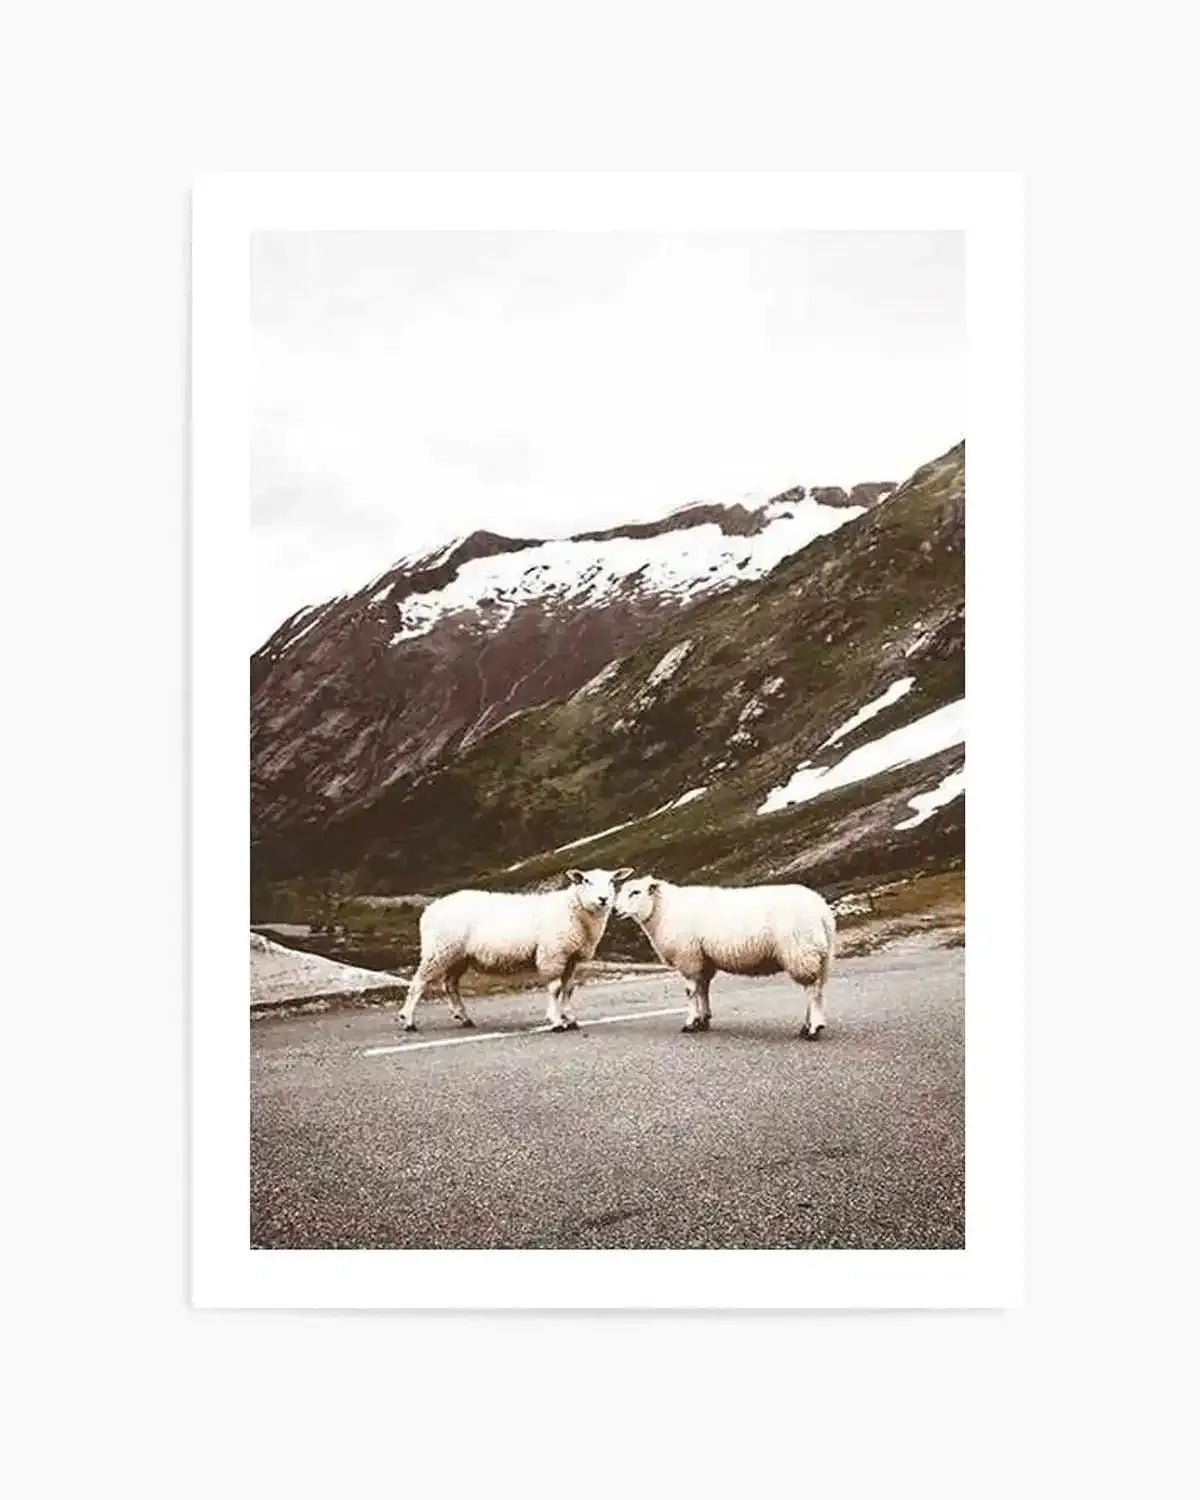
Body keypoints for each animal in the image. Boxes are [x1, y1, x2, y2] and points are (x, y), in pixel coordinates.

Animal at [396, 867, 633, 1033]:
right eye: (586, 880)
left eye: (612, 881)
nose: (603, 899)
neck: (574, 911)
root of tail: (430, 909)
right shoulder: (552, 954)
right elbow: (555, 988)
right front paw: (556, 1020)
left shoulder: (570, 958)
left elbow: (568, 989)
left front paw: (571, 1018)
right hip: (439, 950)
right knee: (418, 983)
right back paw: (408, 1021)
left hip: (458, 955)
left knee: (450, 985)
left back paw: (464, 1018)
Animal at [614, 876, 836, 1037]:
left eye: (635, 892)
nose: (615, 910)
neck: (663, 910)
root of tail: (822, 910)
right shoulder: (703, 959)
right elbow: (703, 989)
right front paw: (704, 1020)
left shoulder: (688, 957)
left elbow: (691, 991)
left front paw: (691, 1023)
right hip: (821, 954)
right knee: (817, 989)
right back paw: (807, 1026)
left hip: (801, 951)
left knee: (812, 990)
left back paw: (814, 1028)